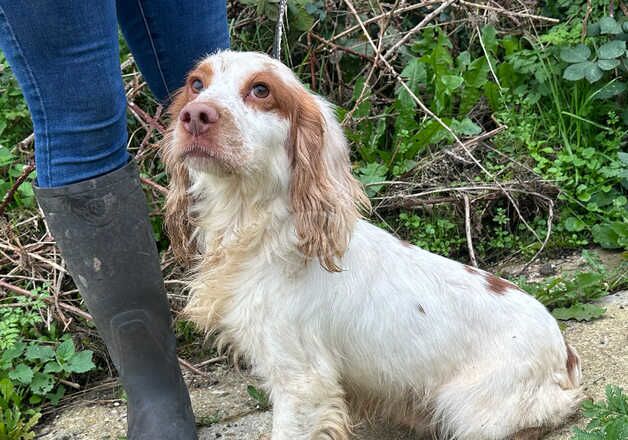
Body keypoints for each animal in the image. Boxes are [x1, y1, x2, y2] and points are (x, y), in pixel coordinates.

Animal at [162, 51, 584, 440]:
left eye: (261, 90)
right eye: (197, 84)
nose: (195, 115)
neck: (257, 227)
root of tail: (564, 353)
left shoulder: (302, 381)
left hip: (468, 409)